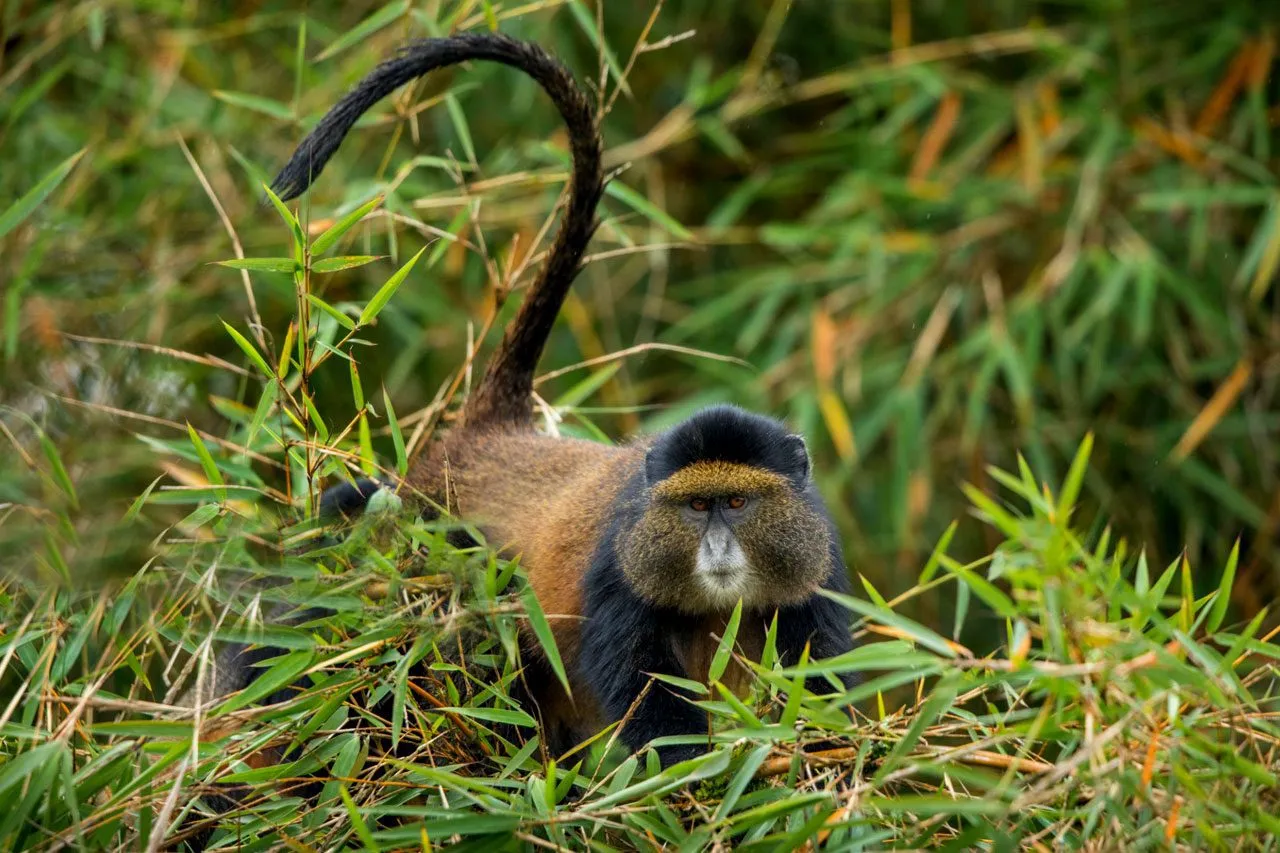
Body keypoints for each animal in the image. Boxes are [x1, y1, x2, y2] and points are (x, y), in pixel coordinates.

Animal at [183, 29, 858, 792]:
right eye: (695, 506)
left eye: (738, 504)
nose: (715, 546)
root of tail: (490, 431)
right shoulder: (615, 568)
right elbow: (644, 690)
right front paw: (694, 775)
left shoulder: (816, 565)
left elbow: (818, 675)